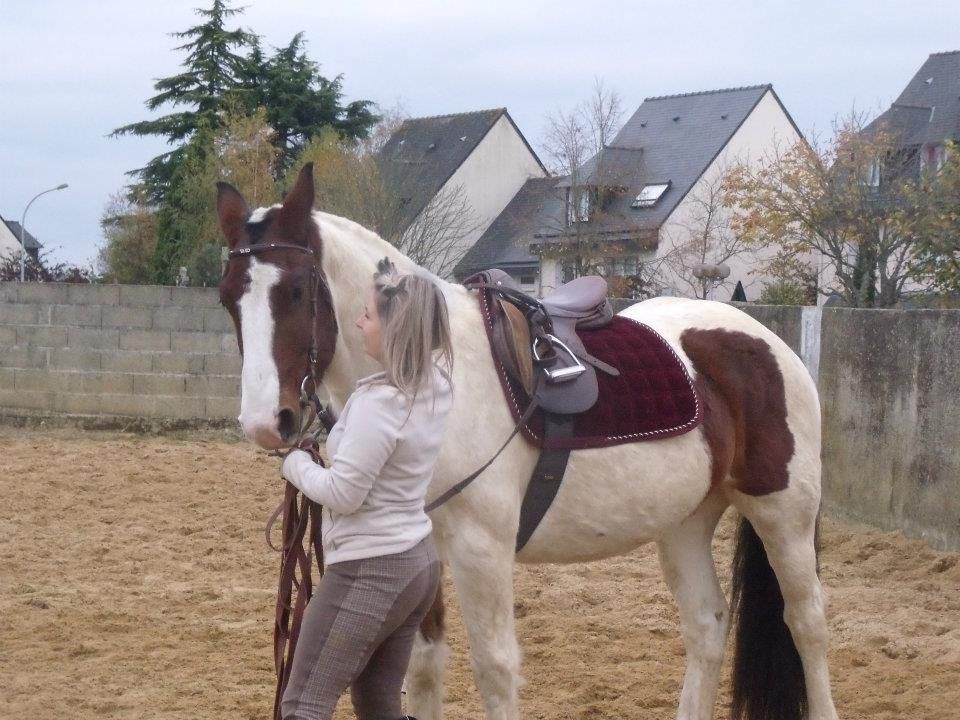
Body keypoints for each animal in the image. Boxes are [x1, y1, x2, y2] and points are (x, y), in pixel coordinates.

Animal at [215, 163, 838, 720]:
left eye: (298, 291)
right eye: (227, 299)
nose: (269, 422)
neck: (431, 374)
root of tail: (767, 343)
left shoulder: (481, 550)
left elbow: (495, 669)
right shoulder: (420, 552)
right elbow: (423, 668)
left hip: (783, 513)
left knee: (807, 624)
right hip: (685, 521)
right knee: (707, 625)